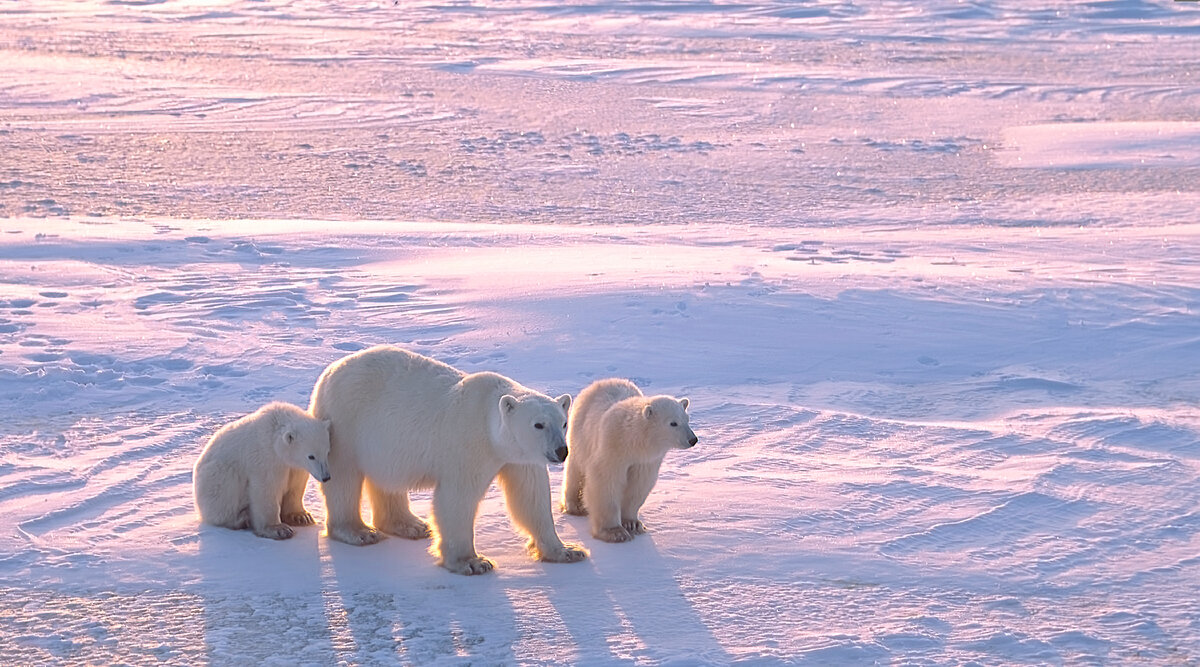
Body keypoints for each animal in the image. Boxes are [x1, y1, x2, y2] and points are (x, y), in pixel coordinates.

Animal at [194, 403, 333, 539]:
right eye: (311, 456)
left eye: (327, 452)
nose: (326, 477)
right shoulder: (265, 457)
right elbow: (265, 488)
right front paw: (279, 529)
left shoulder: (294, 467)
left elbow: (296, 485)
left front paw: (301, 516)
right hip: (215, 476)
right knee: (225, 492)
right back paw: (241, 519)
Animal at [309, 343, 590, 573]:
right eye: (538, 425)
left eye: (563, 423)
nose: (561, 451)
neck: (488, 420)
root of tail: (329, 371)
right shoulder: (469, 444)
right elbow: (457, 498)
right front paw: (472, 562)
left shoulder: (519, 457)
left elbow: (531, 497)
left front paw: (568, 551)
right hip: (346, 422)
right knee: (344, 478)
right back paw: (359, 532)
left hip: (382, 441)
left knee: (387, 480)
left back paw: (411, 525)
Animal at [559, 381, 696, 542]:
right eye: (673, 423)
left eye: (687, 419)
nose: (693, 439)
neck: (632, 441)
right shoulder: (612, 448)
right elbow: (605, 481)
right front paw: (614, 532)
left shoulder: (645, 460)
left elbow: (638, 485)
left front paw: (632, 524)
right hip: (581, 432)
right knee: (575, 468)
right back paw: (575, 506)